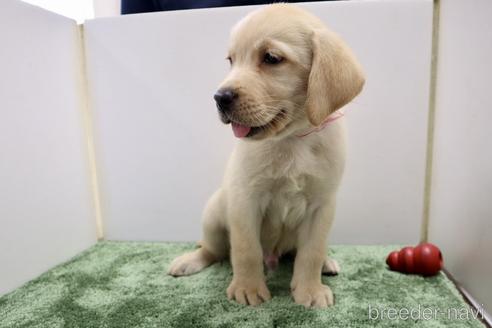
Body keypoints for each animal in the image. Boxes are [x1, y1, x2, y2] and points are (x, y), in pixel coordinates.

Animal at [169, 3, 366, 308]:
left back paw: (326, 263)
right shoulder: (245, 200)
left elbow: (311, 252)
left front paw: (310, 289)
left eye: (271, 58)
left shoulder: (322, 206)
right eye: (231, 60)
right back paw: (189, 261)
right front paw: (248, 288)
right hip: (213, 214)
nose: (219, 97)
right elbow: (246, 250)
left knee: (303, 253)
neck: (292, 139)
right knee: (214, 250)